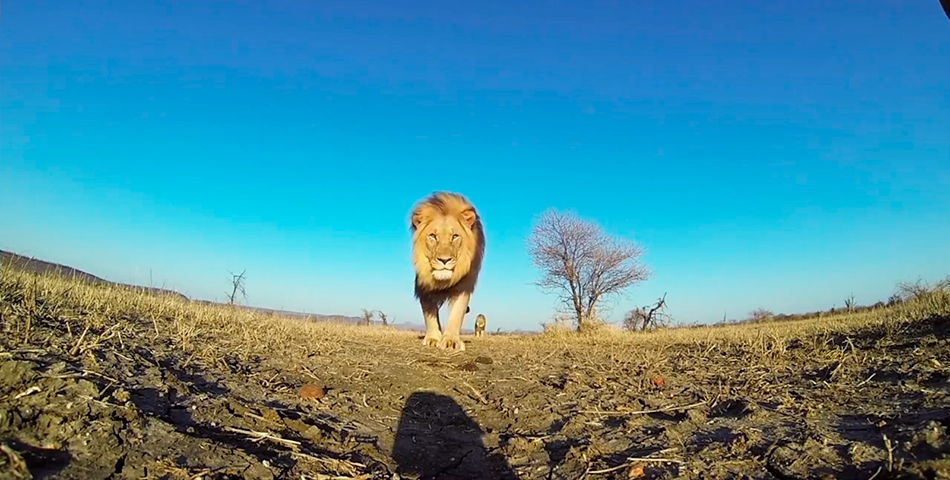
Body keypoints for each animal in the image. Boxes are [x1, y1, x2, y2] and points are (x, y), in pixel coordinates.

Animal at [410, 191, 488, 352]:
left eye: (455, 236)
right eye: (433, 236)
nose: (444, 260)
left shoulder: (463, 286)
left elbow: (457, 314)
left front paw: (451, 341)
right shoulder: (424, 286)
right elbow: (429, 315)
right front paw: (433, 338)